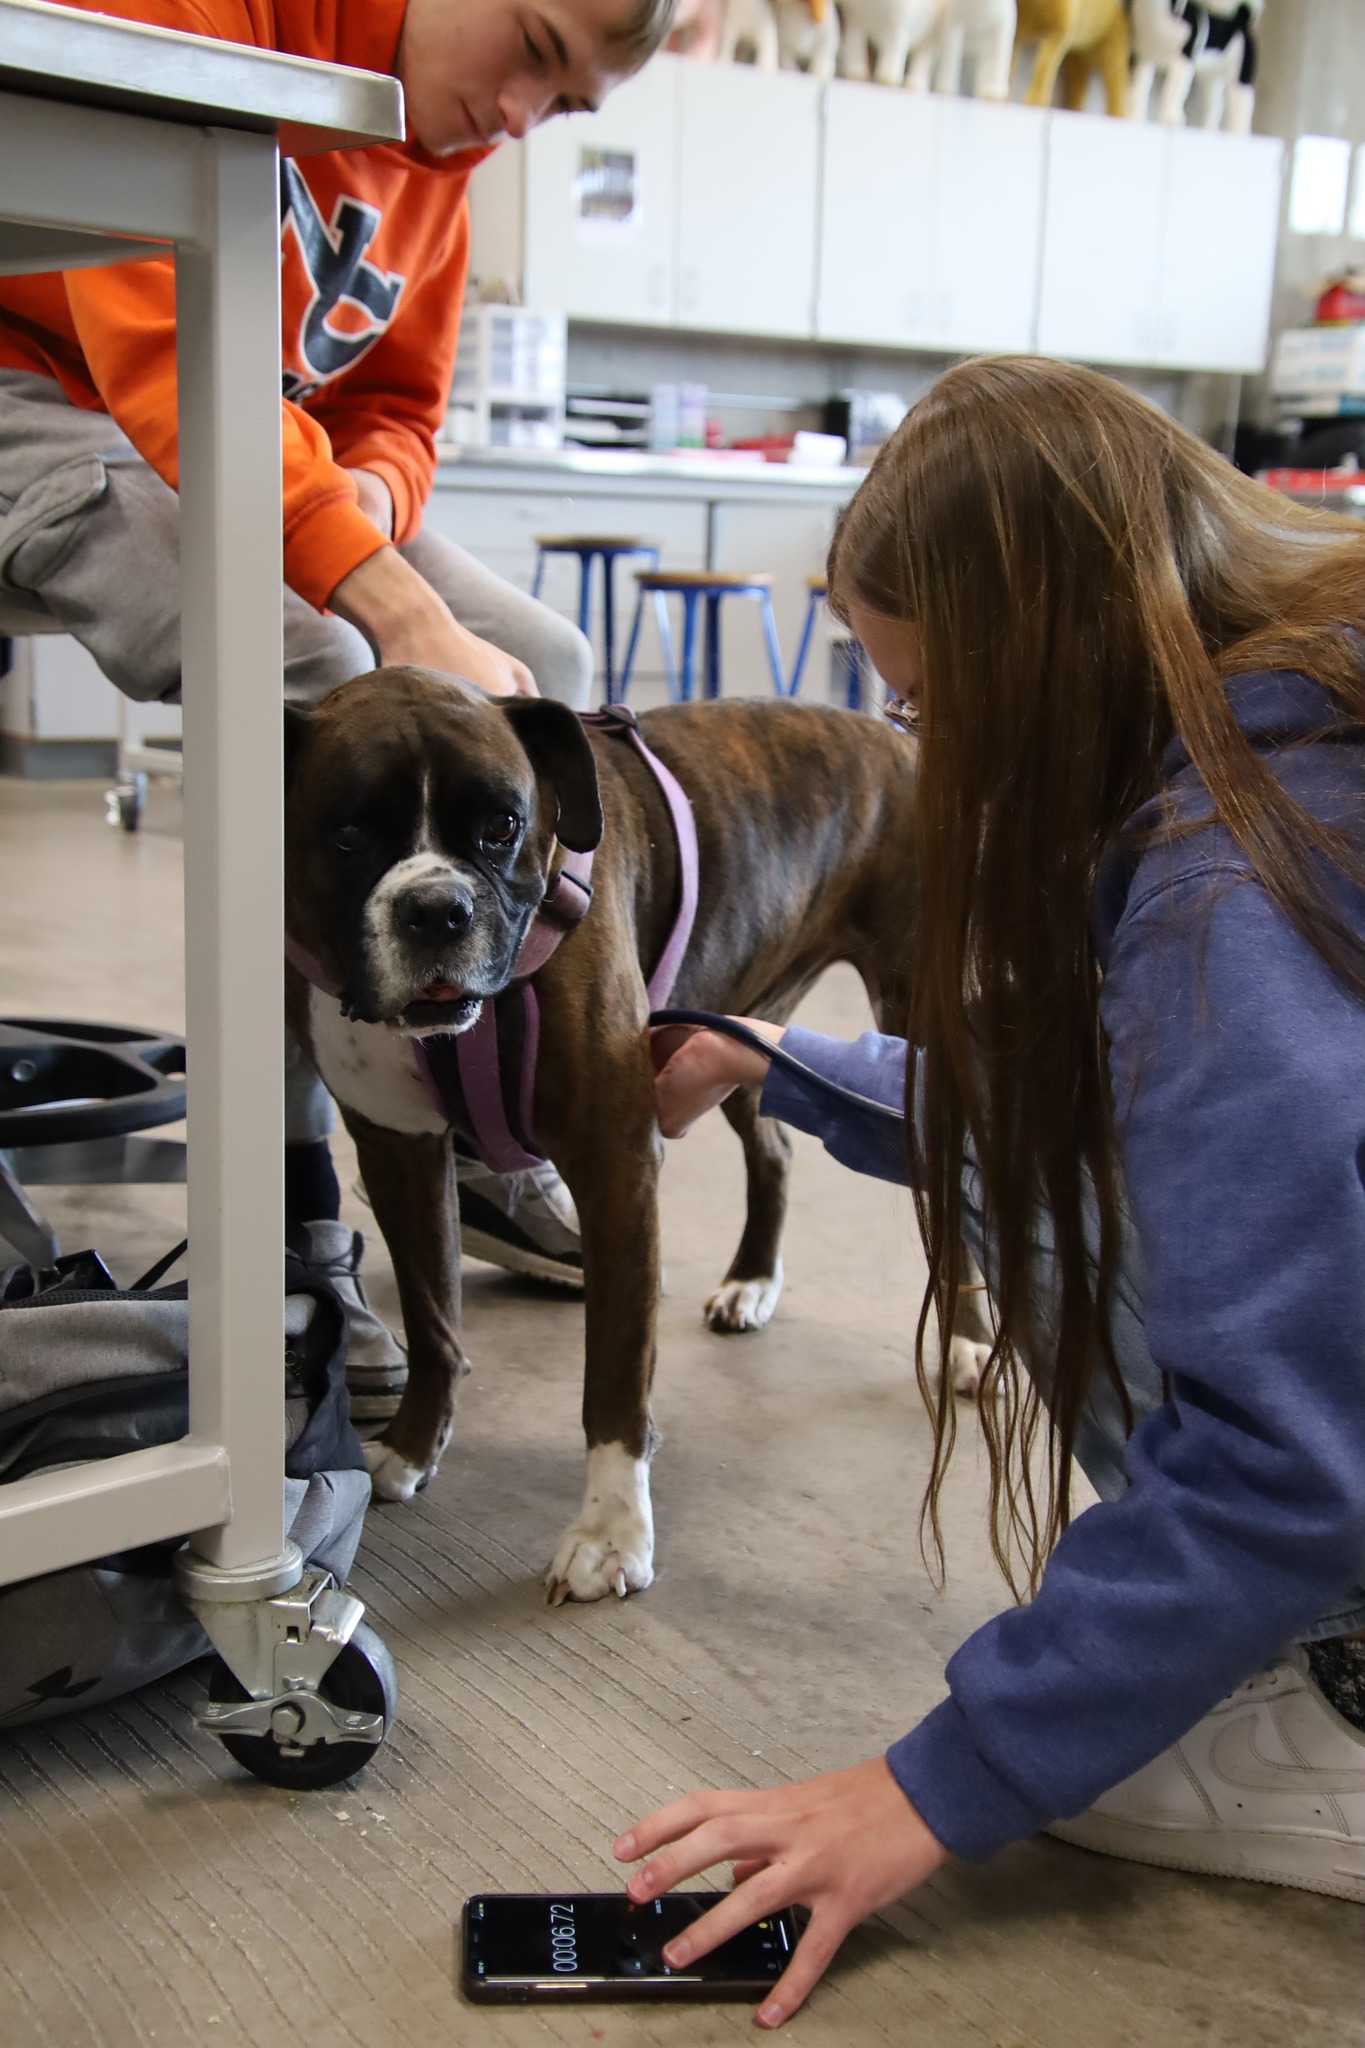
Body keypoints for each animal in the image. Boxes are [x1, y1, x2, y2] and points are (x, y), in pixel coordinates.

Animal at [288, 663, 929, 1605]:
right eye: (347, 836)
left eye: (504, 825)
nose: (438, 908)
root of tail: (897, 738)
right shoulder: (400, 1153)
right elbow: (435, 1323)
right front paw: (409, 1450)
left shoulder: (615, 1163)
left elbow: (615, 1375)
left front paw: (609, 1534)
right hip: (742, 1028)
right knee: (773, 1152)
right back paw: (751, 1282)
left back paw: (970, 1346)